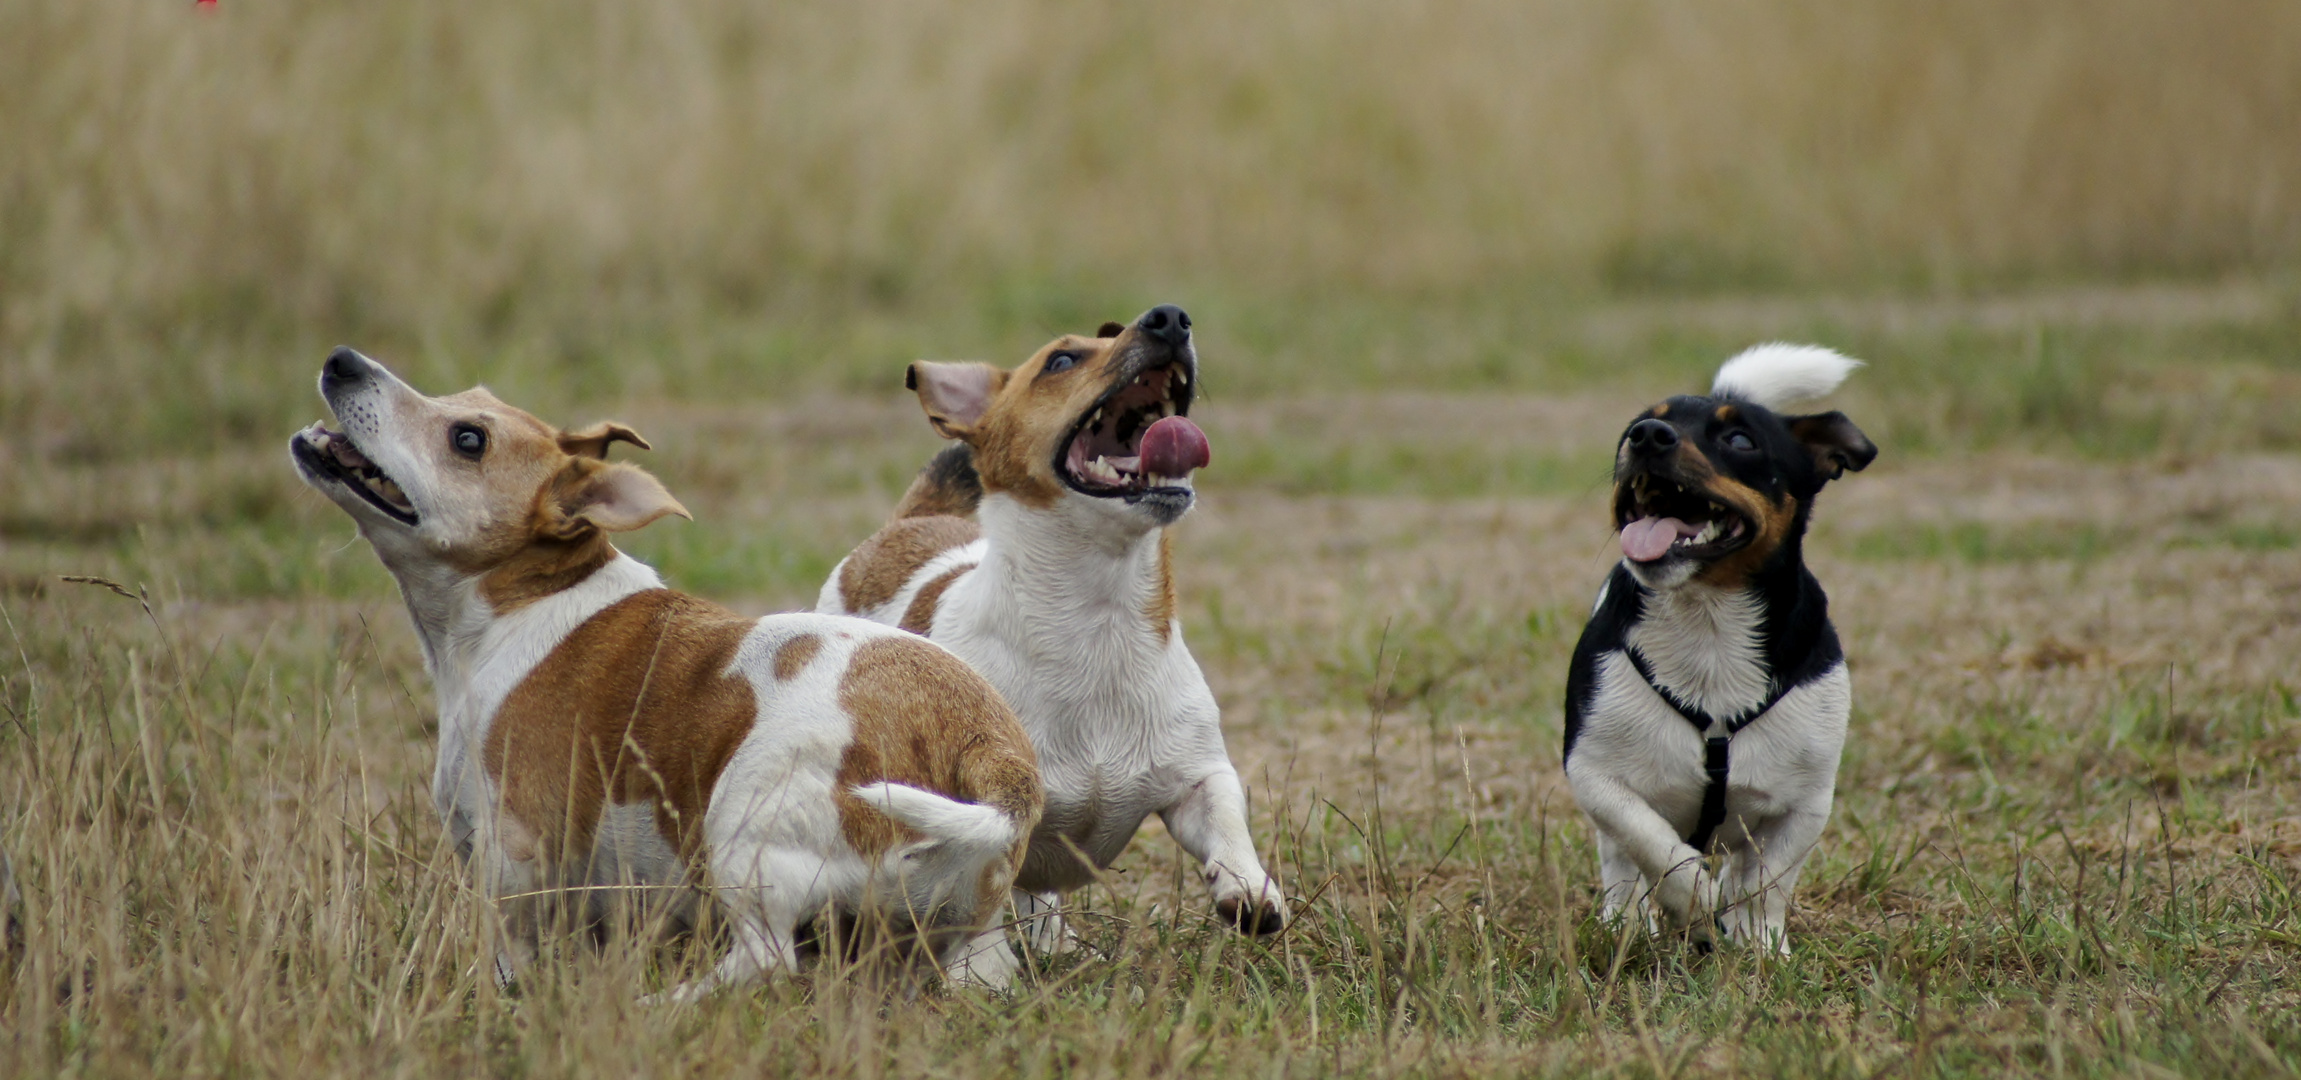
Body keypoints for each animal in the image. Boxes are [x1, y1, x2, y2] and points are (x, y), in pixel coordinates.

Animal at [289, 347, 1044, 994]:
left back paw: (667, 1002)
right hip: (966, 942)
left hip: (743, 829)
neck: (525, 601)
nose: (344, 360)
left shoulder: (516, 864)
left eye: (467, 439)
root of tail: (989, 751)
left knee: (766, 961)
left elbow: (510, 956)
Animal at [819, 303, 1288, 953]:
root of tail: (910, 522)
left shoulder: (1197, 772)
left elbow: (1223, 814)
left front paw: (1248, 886)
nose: (1170, 318)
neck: (1096, 620)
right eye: (1061, 360)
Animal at [1564, 345, 1868, 953]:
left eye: (1741, 440)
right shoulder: (1594, 772)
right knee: (1622, 863)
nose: (1647, 436)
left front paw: (1761, 943)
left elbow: (1768, 883)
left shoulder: (1805, 804)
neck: (1707, 623)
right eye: (1634, 426)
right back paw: (1625, 921)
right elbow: (1654, 845)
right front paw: (1695, 903)